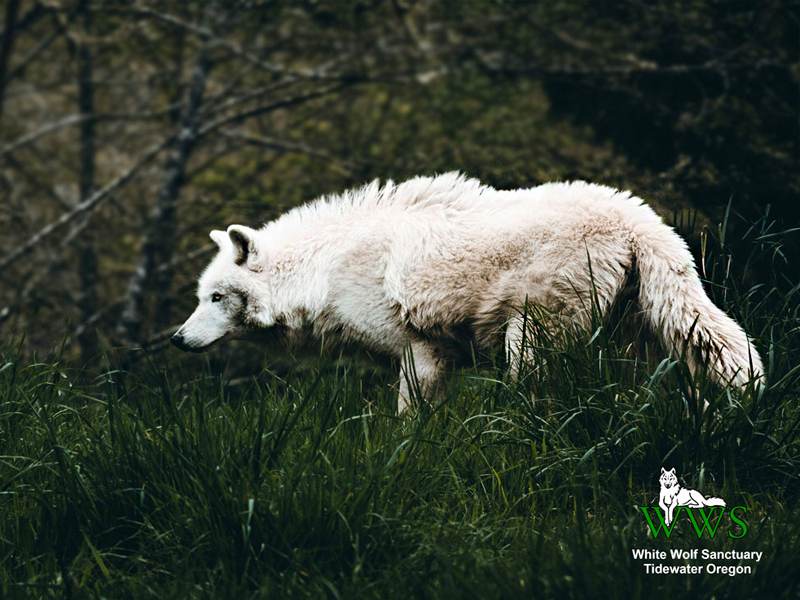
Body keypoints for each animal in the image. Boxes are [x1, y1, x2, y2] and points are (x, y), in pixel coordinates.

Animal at [173, 171, 764, 410]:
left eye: (216, 298)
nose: (178, 340)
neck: (324, 270)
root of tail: (640, 220)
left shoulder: (422, 348)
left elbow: (408, 416)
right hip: (639, 335)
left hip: (530, 336)